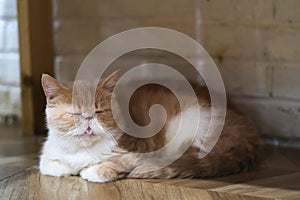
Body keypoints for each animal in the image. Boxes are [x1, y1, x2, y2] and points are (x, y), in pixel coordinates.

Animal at [39, 70, 260, 183]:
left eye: (99, 111)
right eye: (75, 114)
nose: (88, 120)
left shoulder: (136, 152)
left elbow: (101, 168)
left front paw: (90, 170)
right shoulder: (49, 155)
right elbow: (49, 166)